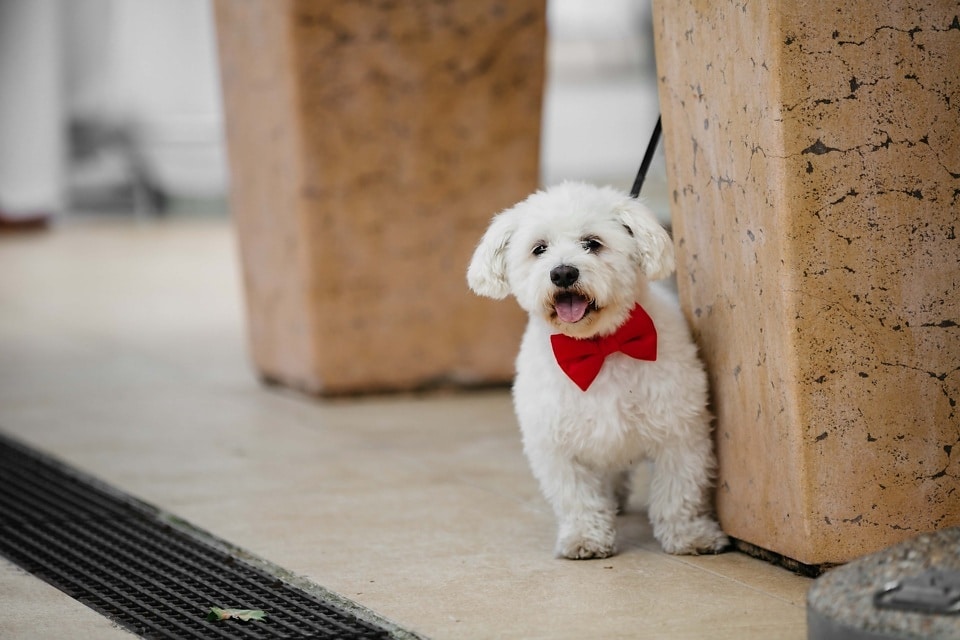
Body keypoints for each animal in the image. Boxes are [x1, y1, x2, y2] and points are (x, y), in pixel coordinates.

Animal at [466, 181, 728, 560]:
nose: (563, 272)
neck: (598, 347)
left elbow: (679, 492)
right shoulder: (556, 443)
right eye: (539, 248)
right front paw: (585, 538)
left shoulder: (679, 431)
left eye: (592, 243)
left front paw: (690, 535)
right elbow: (577, 497)